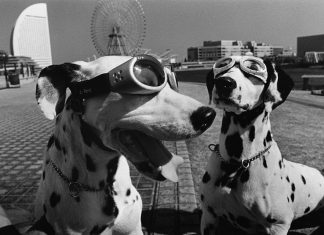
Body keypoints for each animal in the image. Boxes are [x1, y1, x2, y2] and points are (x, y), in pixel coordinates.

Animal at [200, 55, 324, 235]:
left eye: (253, 68)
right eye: (222, 65)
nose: (224, 82)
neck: (239, 162)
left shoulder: (277, 226)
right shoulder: (209, 216)